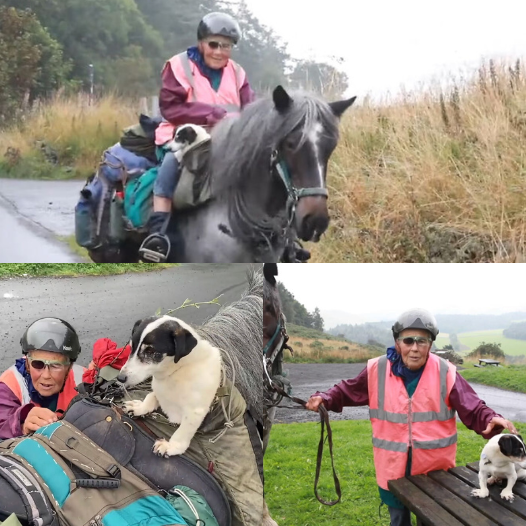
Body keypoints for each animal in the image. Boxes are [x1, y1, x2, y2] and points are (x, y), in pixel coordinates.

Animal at [116, 318, 222, 458]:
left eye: (150, 351)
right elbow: (151, 396)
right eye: (131, 347)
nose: (120, 378)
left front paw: (172, 446)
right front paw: (140, 408)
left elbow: (182, 432)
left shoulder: (195, 412)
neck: (176, 372)